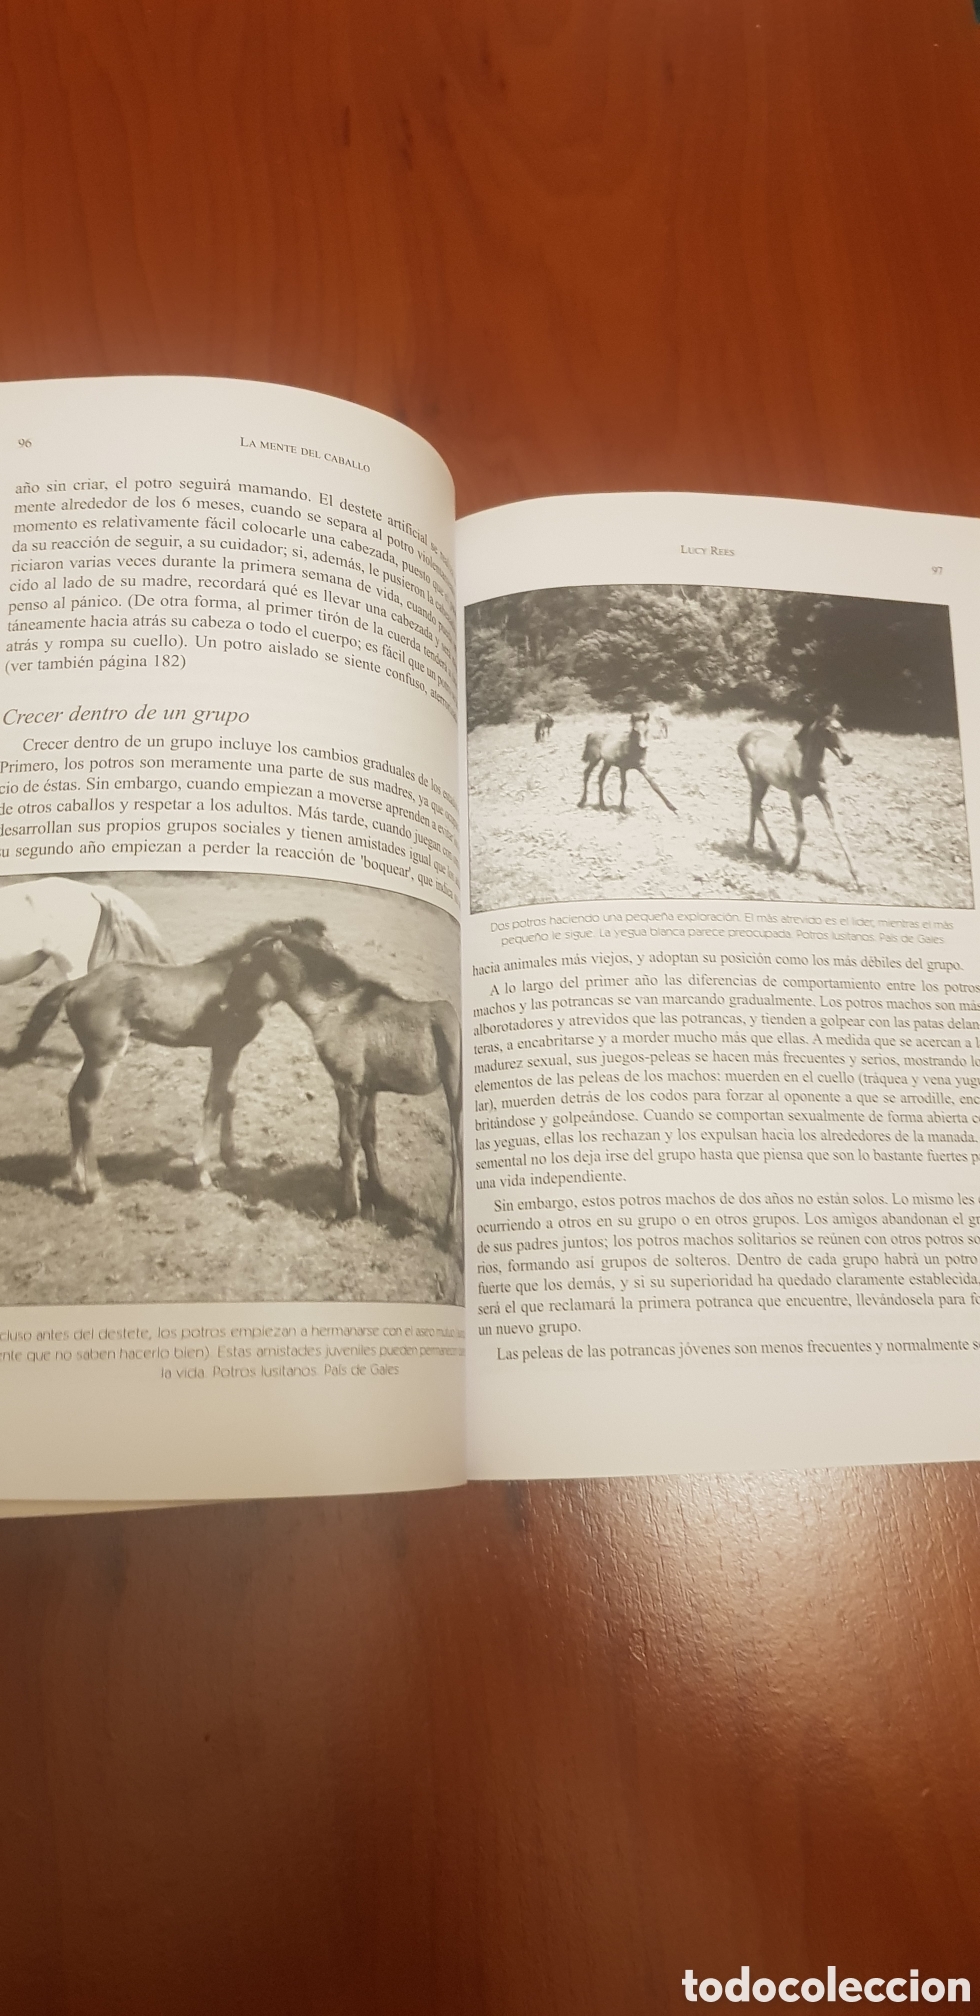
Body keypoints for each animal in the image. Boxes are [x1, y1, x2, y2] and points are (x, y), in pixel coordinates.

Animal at [2, 917, 332, 1198]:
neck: (240, 980)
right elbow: (213, 1101)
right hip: (103, 1057)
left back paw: (78, 1181)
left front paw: (232, 1160)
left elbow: (229, 1096)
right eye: (317, 953)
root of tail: (78, 983)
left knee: (73, 1100)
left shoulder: (232, 1049)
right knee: (86, 1105)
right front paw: (203, 1173)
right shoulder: (223, 1049)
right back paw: (93, 1187)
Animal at [222, 933, 462, 1239]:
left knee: (458, 1150)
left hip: (456, 1095)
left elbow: (348, 1142)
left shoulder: (346, 1085)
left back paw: (450, 1231)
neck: (334, 1009)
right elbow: (368, 1136)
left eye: (245, 965)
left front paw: (347, 1210)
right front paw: (378, 1193)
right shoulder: (368, 1088)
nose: (223, 1006)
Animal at [737, 709, 861, 886]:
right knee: (756, 807)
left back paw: (752, 844)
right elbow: (801, 831)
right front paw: (793, 864)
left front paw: (858, 878)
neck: (807, 764)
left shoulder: (825, 794)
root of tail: (746, 736)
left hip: (763, 782)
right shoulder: (794, 796)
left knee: (754, 806)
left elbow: (838, 829)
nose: (847, 757)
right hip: (756, 779)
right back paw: (775, 850)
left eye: (842, 728)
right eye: (827, 730)